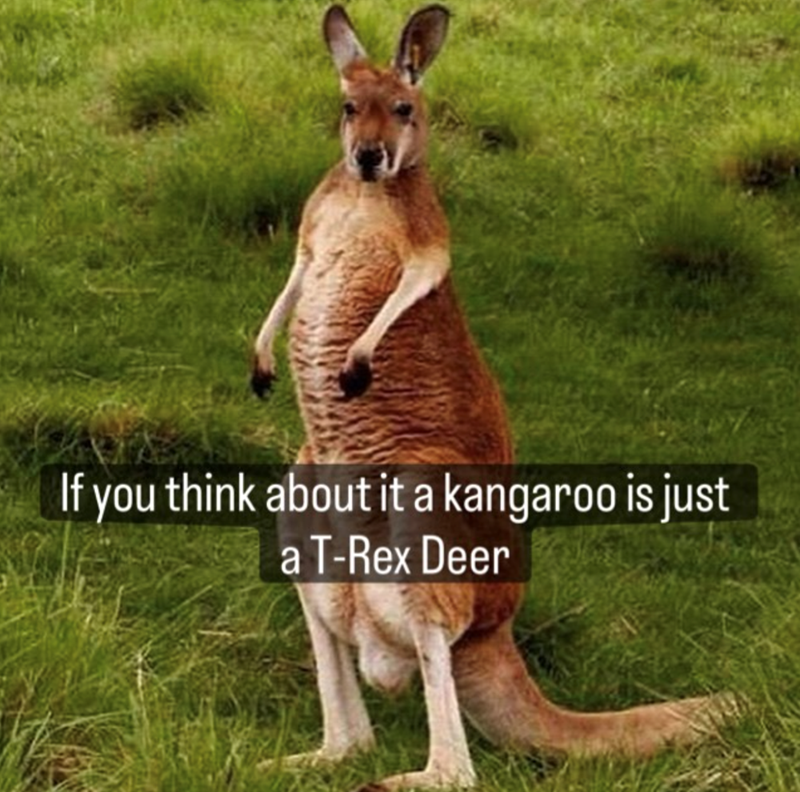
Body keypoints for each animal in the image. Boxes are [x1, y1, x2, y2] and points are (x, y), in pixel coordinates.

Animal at [250, 5, 736, 790]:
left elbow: (414, 281)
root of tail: (492, 630)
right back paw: (300, 759)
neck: (362, 198)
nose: (369, 157)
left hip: (423, 497)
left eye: (405, 109)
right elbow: (292, 281)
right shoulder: (310, 232)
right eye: (349, 107)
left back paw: (408, 776)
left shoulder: (426, 239)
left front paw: (356, 362)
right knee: (352, 726)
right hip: (303, 494)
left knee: (453, 753)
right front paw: (263, 361)